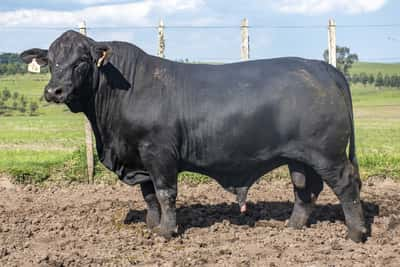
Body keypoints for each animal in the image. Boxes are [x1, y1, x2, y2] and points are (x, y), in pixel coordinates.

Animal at [21, 30, 366, 243]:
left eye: (81, 61)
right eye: (51, 61)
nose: (54, 91)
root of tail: (322, 67)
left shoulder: (158, 152)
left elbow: (165, 193)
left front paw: (166, 231)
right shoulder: (139, 157)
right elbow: (148, 195)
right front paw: (152, 224)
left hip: (328, 154)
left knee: (346, 184)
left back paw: (356, 233)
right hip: (300, 157)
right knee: (305, 188)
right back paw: (293, 225)